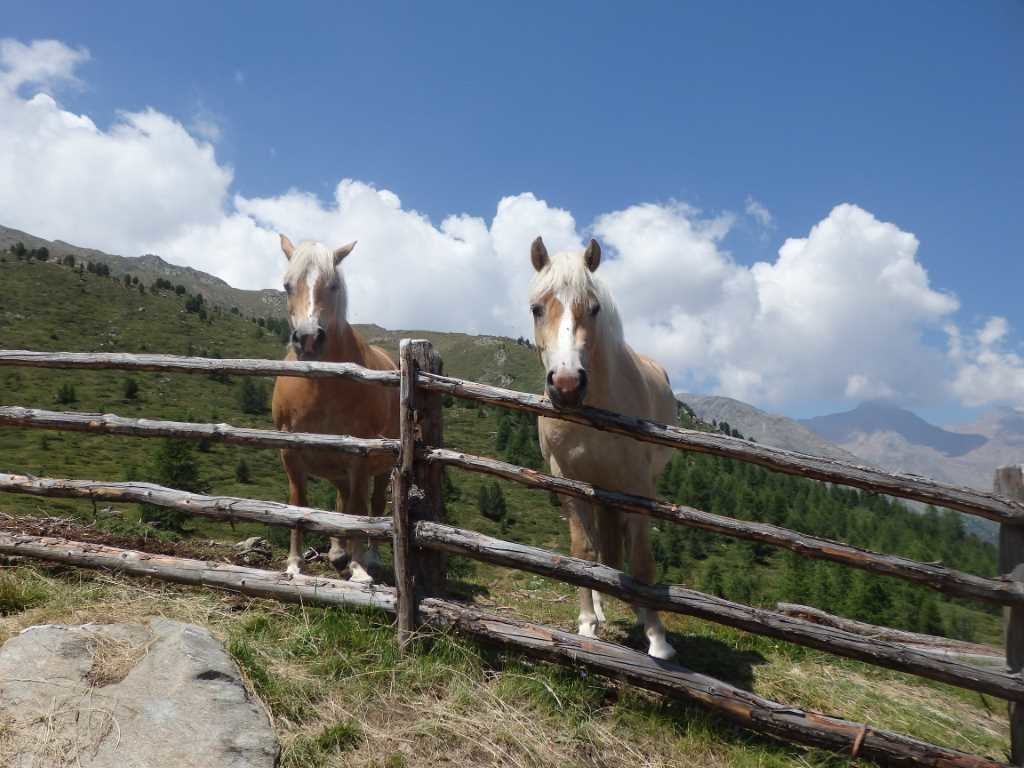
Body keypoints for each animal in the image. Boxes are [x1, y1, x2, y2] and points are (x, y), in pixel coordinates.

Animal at [271, 234, 399, 582]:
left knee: (372, 505)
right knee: (341, 501)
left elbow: (359, 509)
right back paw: (338, 552)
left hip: (380, 467)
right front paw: (294, 564)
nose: (308, 338)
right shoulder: (291, 451)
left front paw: (359, 569)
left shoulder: (360, 456)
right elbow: (300, 504)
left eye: (332, 285)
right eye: (287, 285)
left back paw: (368, 557)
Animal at [528, 236, 677, 659]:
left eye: (594, 308)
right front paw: (587, 624)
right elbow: (583, 551)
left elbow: (641, 560)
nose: (566, 385)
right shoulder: (569, 481)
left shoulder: (637, 485)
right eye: (536, 308)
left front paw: (658, 640)